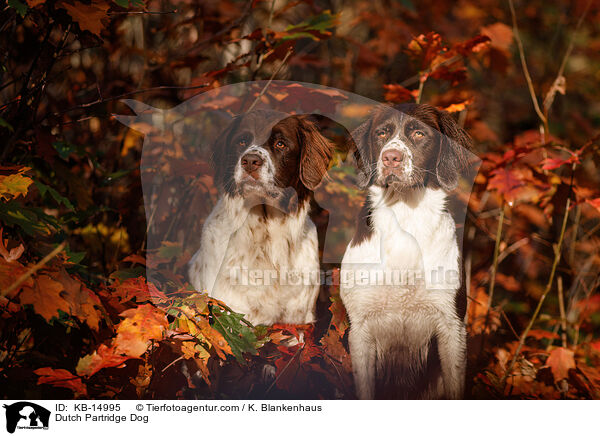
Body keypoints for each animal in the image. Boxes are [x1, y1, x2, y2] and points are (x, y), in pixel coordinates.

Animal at [340, 102, 472, 398]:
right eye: (381, 133)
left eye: (420, 134)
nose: (391, 158)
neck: (405, 217)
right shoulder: (360, 328)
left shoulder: (452, 326)